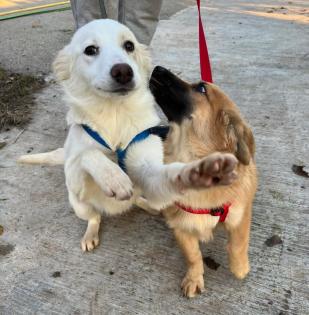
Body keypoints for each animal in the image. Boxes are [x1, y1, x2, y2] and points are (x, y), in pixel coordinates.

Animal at [19, 19, 237, 252]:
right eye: (90, 50)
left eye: (129, 46)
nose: (123, 71)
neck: (114, 114)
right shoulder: (75, 181)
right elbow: (88, 154)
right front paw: (114, 178)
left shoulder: (149, 169)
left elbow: (171, 173)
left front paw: (198, 172)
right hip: (79, 205)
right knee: (95, 217)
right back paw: (91, 232)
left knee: (141, 199)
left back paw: (148, 205)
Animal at [148, 66, 256, 298]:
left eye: (201, 88)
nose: (158, 68)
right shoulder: (181, 225)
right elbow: (193, 256)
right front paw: (194, 278)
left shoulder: (240, 213)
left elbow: (238, 244)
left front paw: (240, 267)